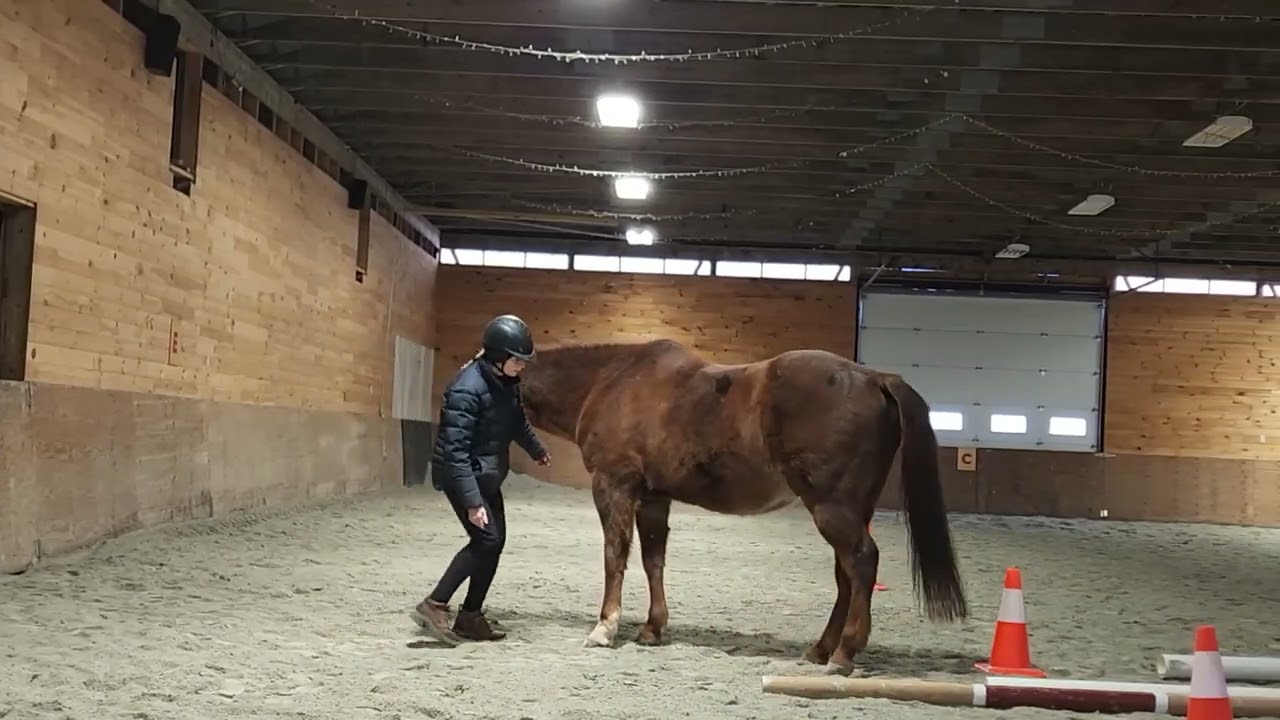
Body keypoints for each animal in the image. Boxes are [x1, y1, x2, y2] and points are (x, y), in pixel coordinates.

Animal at [517, 338, 967, 675]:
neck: (610, 380)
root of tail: (875, 378)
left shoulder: (614, 485)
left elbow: (615, 557)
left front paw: (605, 628)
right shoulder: (654, 497)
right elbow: (652, 560)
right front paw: (652, 628)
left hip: (832, 508)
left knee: (861, 562)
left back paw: (843, 654)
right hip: (855, 510)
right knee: (847, 574)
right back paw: (821, 649)